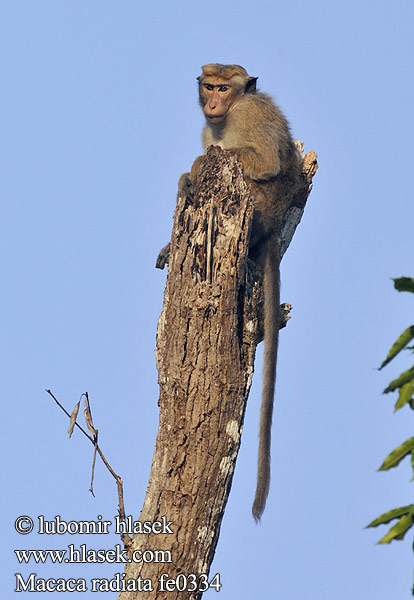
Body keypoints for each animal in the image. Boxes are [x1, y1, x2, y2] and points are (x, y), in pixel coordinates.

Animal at [157, 63, 302, 516]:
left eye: (225, 87)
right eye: (209, 86)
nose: (213, 103)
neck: (233, 111)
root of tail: (270, 232)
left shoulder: (250, 116)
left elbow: (264, 160)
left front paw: (196, 165)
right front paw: (186, 179)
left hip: (256, 207)